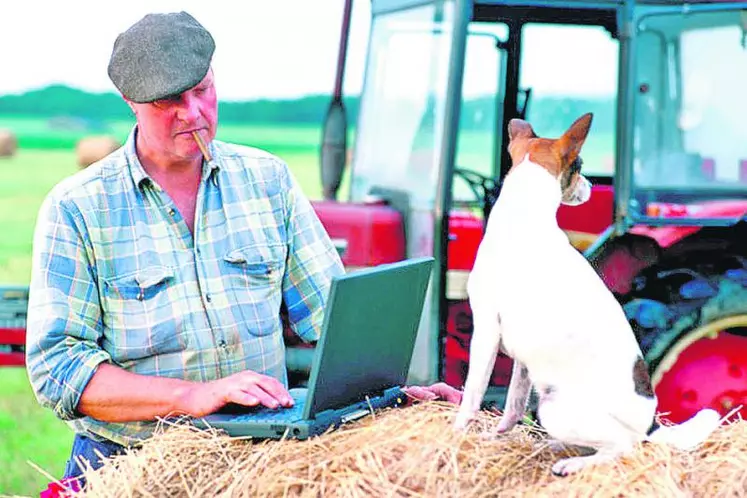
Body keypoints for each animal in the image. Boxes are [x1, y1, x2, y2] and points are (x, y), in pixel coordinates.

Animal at [452, 112, 720, 474]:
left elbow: (471, 396)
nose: (592, 187)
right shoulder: (521, 357)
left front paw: (455, 437)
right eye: (579, 167)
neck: (525, 217)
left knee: (622, 448)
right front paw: (498, 437)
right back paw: (554, 446)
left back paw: (573, 463)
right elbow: (513, 402)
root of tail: (651, 426)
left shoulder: (486, 331)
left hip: (554, 409)